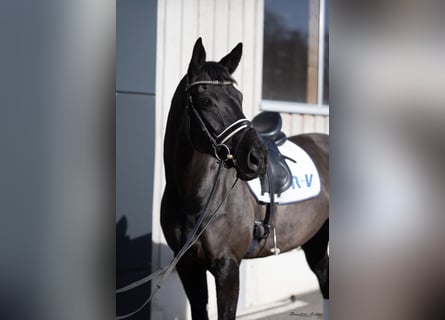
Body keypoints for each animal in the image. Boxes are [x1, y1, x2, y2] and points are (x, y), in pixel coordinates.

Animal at [161, 38, 328, 318]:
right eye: (205, 100)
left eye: (238, 97)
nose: (257, 158)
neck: (195, 198)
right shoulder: (188, 267)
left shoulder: (228, 269)